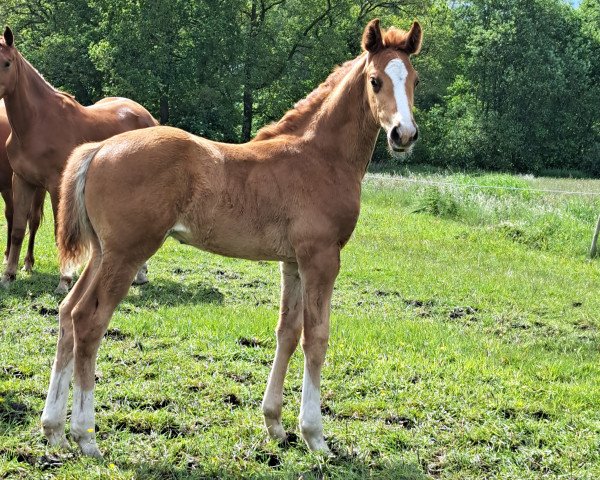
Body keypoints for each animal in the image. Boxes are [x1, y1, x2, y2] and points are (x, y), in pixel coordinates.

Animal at [0, 30, 157, 294]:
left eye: (7, 63)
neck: (35, 123)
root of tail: (148, 117)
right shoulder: (21, 181)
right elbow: (18, 229)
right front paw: (8, 276)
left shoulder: (56, 185)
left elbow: (58, 230)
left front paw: (64, 280)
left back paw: (140, 274)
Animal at [42, 19, 422, 458]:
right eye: (376, 81)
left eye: (414, 79)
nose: (403, 134)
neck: (320, 159)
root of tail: (99, 148)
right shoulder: (321, 258)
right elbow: (316, 338)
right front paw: (315, 436)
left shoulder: (292, 262)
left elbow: (287, 332)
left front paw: (275, 425)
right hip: (126, 255)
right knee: (90, 322)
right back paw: (85, 436)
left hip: (103, 253)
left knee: (68, 314)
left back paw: (53, 429)